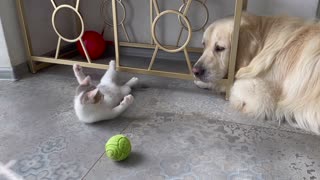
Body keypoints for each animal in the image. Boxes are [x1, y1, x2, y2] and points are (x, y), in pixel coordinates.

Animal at [192, 12, 320, 134]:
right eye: (204, 45)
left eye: (220, 48)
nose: (195, 71)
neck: (264, 40)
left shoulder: (260, 95)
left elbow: (230, 83)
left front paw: (206, 83)